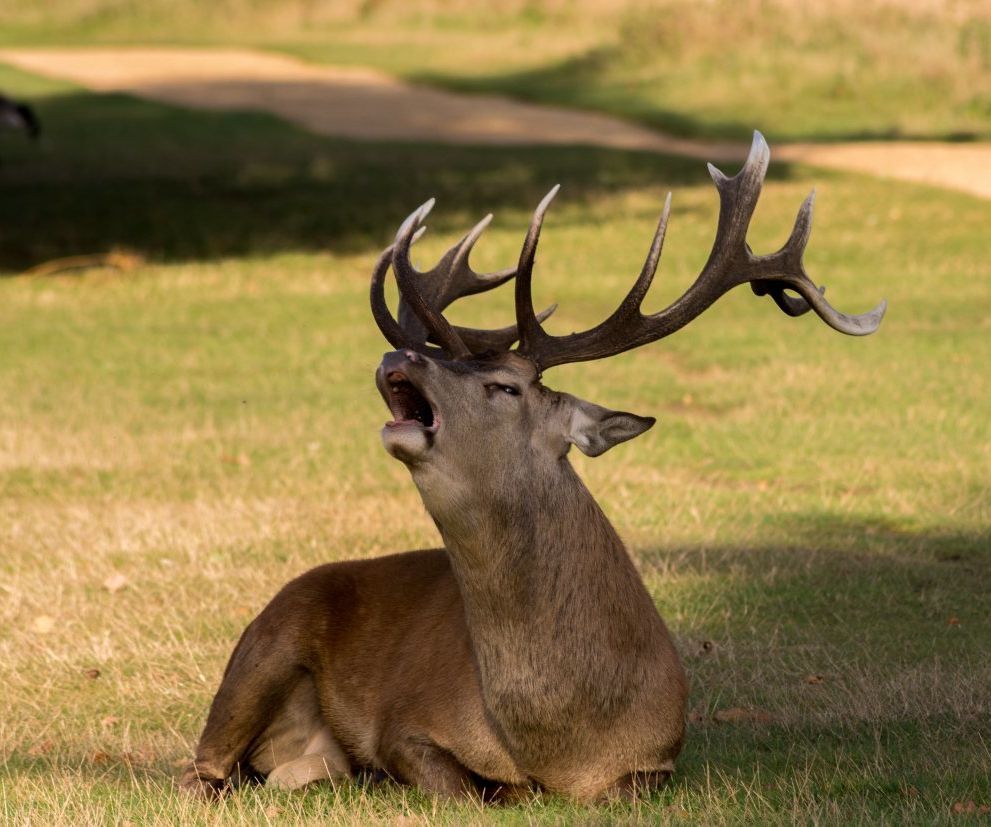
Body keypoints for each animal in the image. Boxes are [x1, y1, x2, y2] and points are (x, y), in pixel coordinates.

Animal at [179, 133, 884, 803]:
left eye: (504, 386)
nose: (399, 355)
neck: (560, 739)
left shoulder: (658, 759)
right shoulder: (403, 724)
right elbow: (464, 787)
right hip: (262, 650)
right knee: (202, 770)